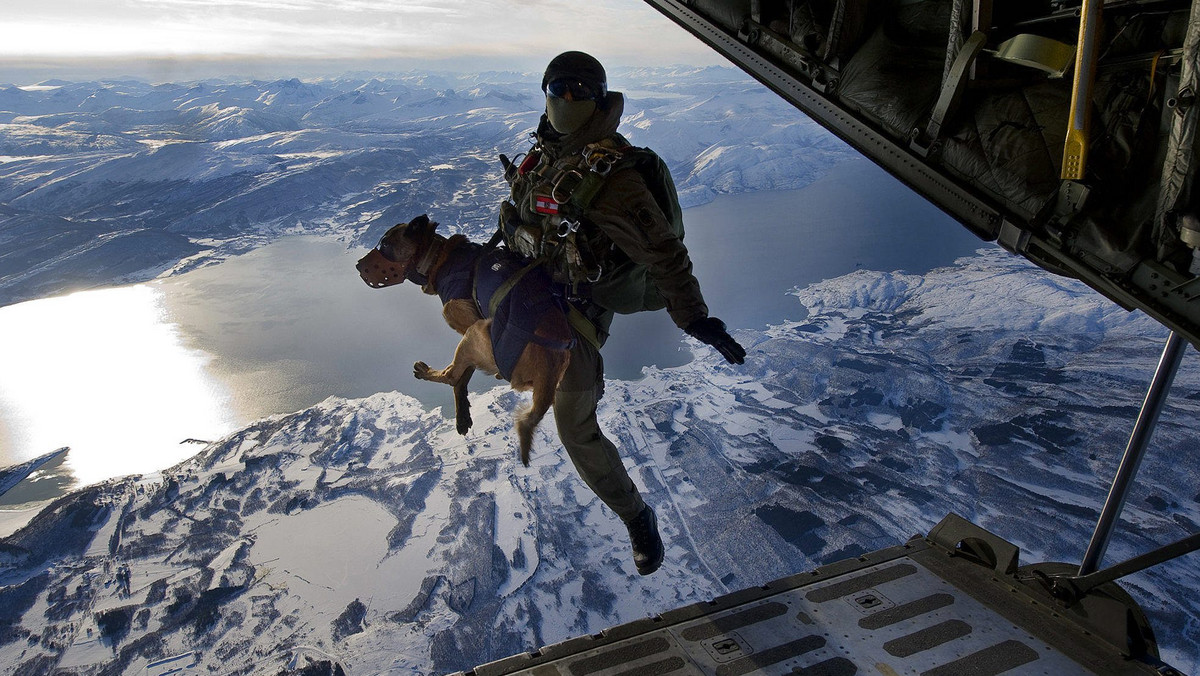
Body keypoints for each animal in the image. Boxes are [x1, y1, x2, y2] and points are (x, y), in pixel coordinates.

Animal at [355, 217, 571, 465]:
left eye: (384, 244)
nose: (357, 265)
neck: (440, 258)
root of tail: (549, 371)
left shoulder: (467, 325)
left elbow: (458, 377)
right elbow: (464, 378)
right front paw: (462, 414)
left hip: (474, 334)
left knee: (449, 375)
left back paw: (425, 371)